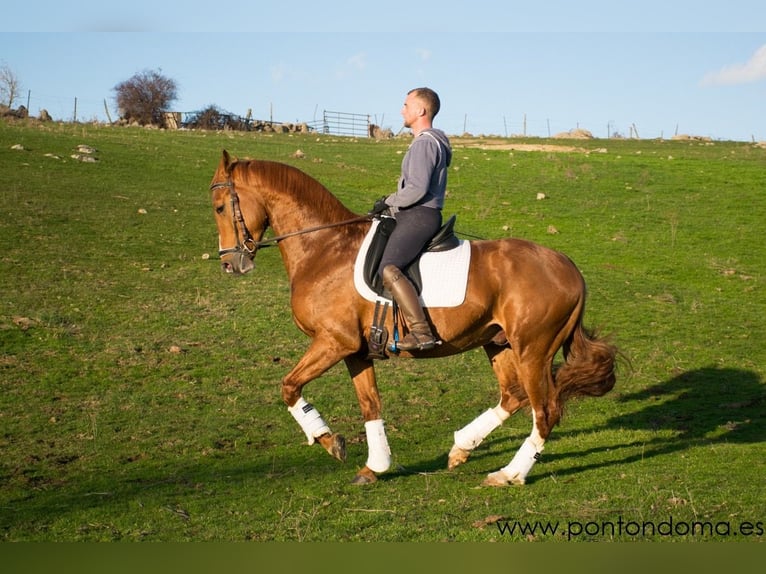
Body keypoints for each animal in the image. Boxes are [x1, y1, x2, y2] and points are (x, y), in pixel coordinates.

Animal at [209, 149, 617, 486]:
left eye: (218, 208)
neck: (324, 247)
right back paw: (462, 447)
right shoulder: (355, 351)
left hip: (533, 349)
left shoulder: (333, 342)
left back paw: (509, 474)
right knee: (513, 396)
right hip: (497, 342)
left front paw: (328, 440)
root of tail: (568, 268)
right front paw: (374, 467)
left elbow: (289, 387)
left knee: (544, 411)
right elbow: (370, 405)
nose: (230, 264)